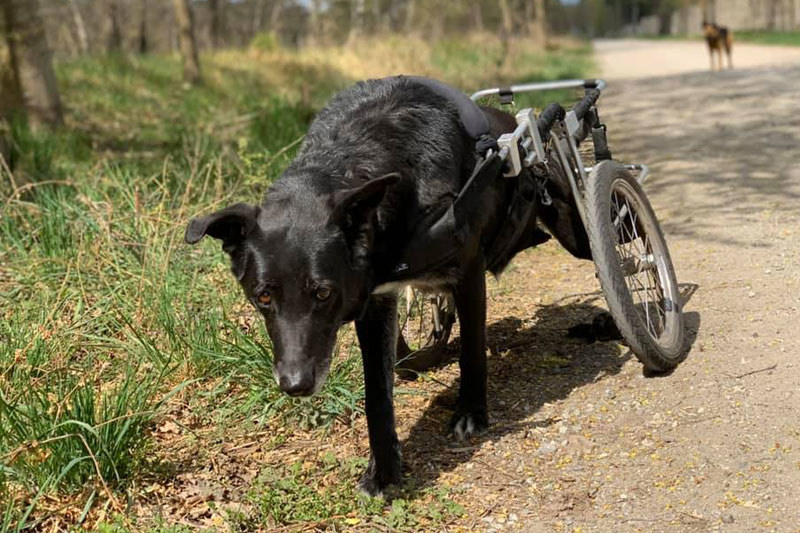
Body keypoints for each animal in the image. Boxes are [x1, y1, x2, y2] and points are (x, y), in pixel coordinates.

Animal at [186, 76, 588, 494]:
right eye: (263, 296)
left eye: (323, 293)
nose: (295, 385)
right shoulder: (376, 302)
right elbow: (377, 393)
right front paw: (384, 471)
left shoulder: (468, 273)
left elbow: (473, 350)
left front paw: (471, 414)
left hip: (576, 230)